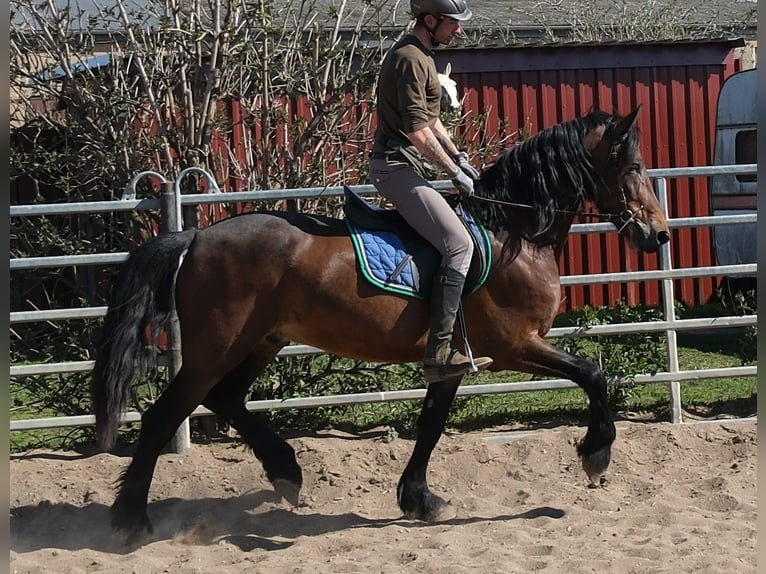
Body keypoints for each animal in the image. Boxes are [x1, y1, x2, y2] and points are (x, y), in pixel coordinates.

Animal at [91, 106, 670, 542]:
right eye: (632, 165)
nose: (660, 236)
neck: (514, 232)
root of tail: (194, 237)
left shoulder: (454, 359)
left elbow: (431, 424)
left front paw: (418, 499)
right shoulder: (515, 346)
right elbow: (593, 374)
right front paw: (596, 454)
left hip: (260, 342)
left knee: (225, 399)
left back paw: (285, 471)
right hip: (216, 349)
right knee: (163, 417)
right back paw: (131, 518)